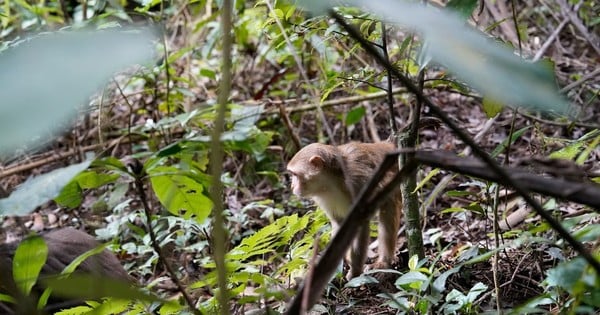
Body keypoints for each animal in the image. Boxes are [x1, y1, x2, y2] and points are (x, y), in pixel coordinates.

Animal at [288, 142, 404, 280]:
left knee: (388, 208)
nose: (292, 186)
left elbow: (360, 223)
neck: (332, 183)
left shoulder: (358, 183)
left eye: (295, 175)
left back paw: (384, 262)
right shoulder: (323, 197)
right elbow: (339, 223)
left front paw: (355, 271)